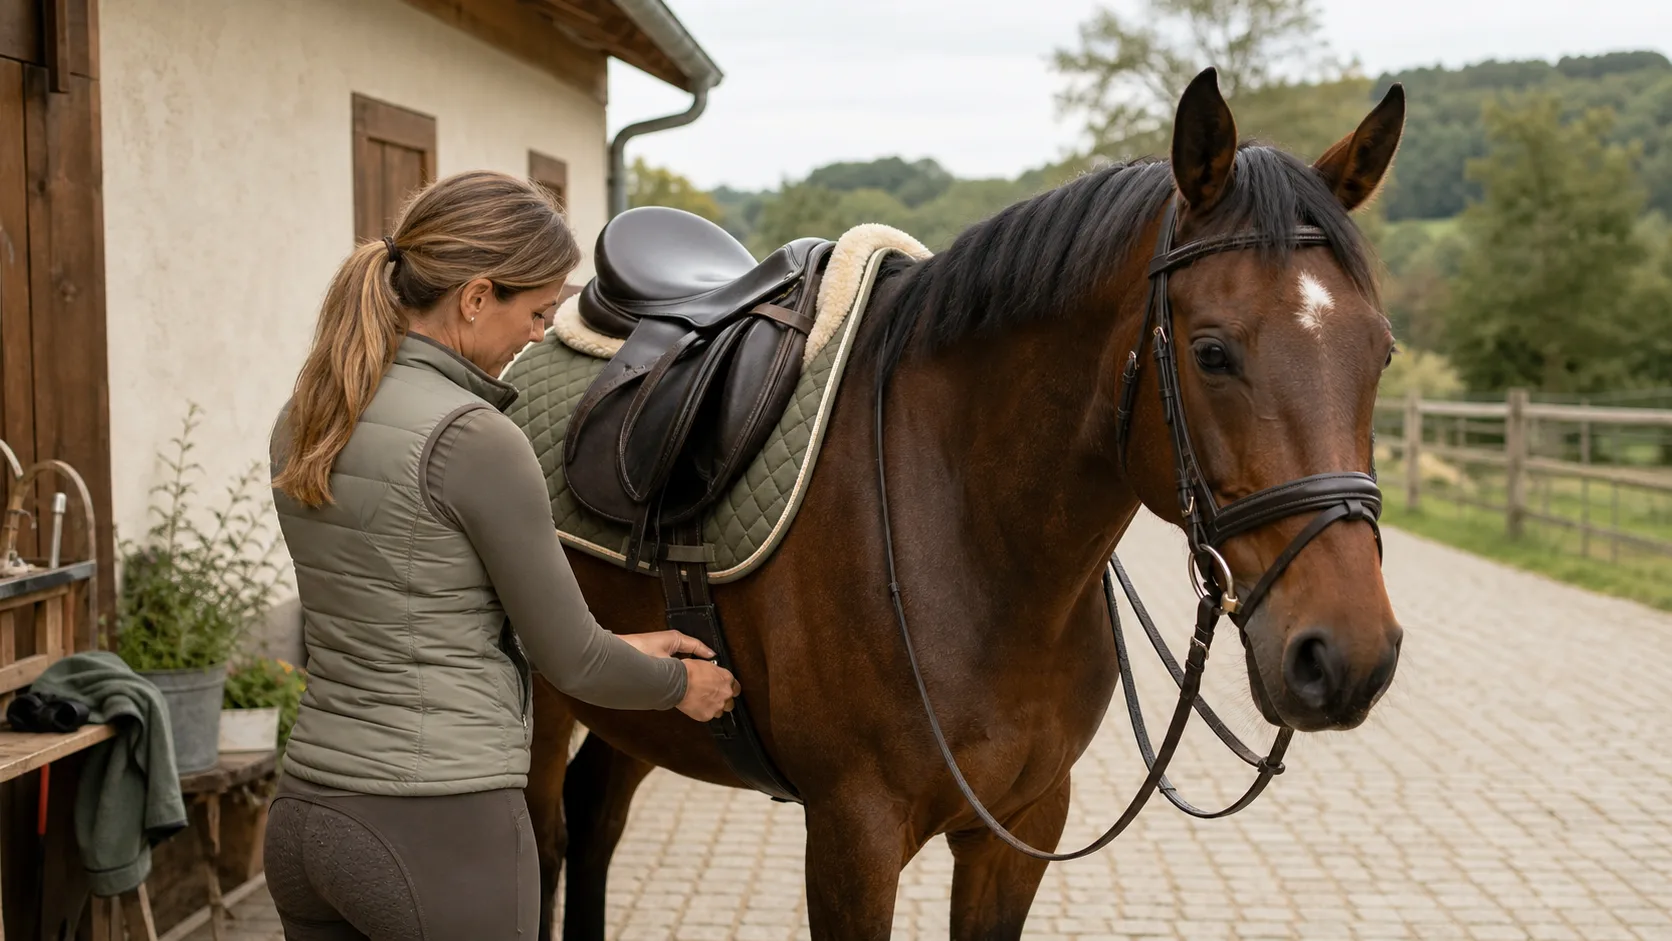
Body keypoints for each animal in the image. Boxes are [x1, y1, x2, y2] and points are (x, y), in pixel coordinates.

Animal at [523, 68, 1408, 940]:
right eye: (1212, 352)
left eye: (1382, 351)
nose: (1348, 655)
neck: (972, 540)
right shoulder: (853, 837)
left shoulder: (1022, 826)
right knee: (545, 838)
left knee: (594, 818)